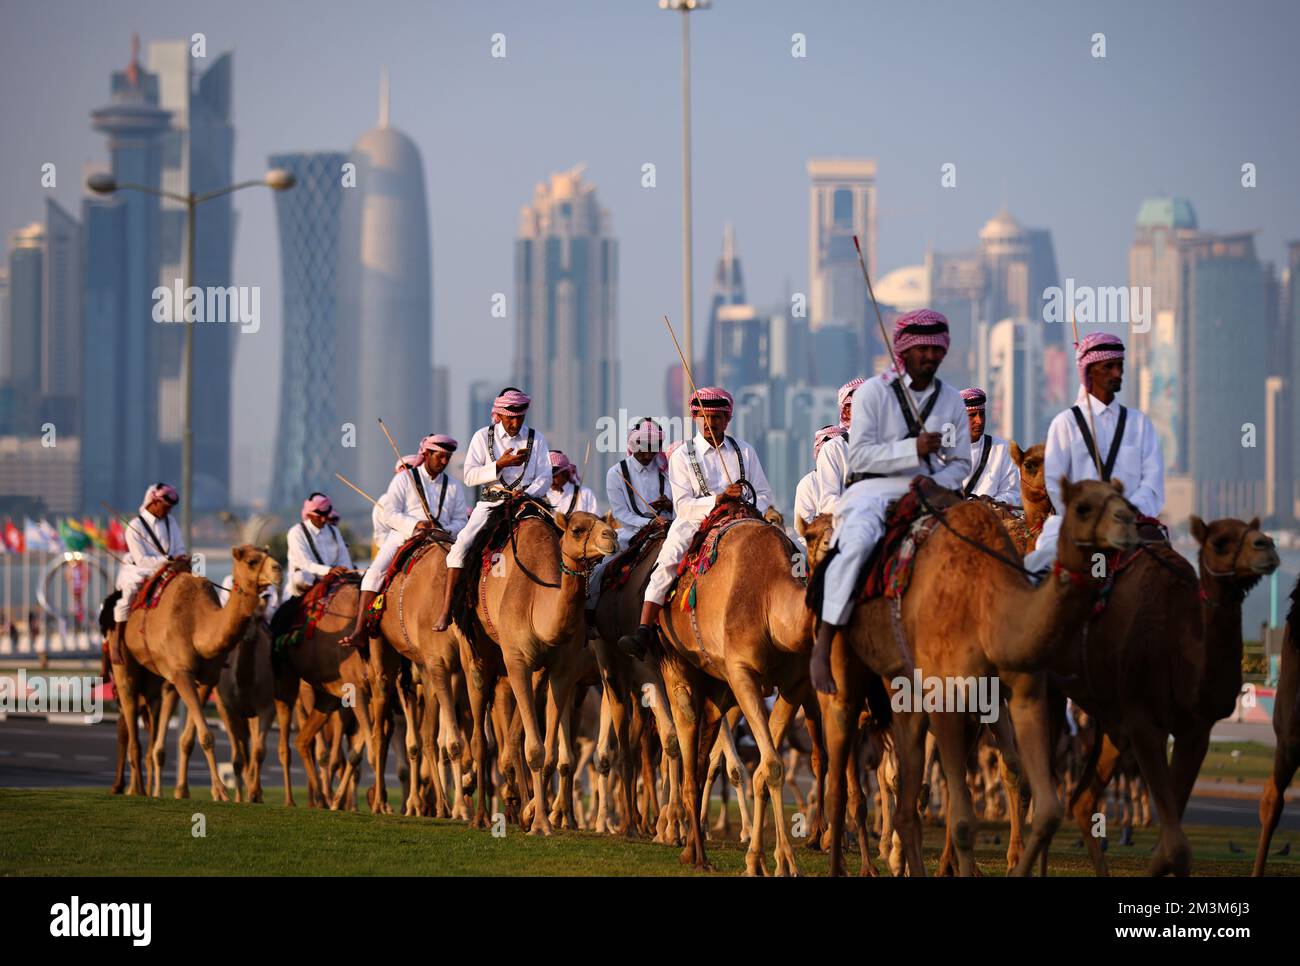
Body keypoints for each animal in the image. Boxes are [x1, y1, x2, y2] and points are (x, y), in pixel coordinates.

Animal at [112, 543, 284, 800]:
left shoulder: (207, 679)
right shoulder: (183, 673)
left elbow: (193, 738)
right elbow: (207, 736)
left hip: (158, 679)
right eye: (252, 561)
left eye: (268, 555)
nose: (278, 570)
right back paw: (138, 790)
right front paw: (221, 792)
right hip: (124, 662)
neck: (198, 626)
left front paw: (189, 791)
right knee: (129, 711)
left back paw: (153, 789)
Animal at [452, 501, 618, 837]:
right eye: (577, 529)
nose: (611, 536)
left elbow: (550, 753)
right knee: (481, 738)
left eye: (602, 522)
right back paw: (480, 816)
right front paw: (541, 823)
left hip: (522, 674)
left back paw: (517, 806)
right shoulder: (517, 661)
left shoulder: (562, 670)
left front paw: (536, 816)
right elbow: (536, 751)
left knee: (513, 737)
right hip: (476, 654)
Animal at [811, 475, 1138, 878]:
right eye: (1084, 506)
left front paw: (1003, 861)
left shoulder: (1003, 699)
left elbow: (1016, 784)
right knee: (846, 784)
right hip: (848, 695)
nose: (1128, 522)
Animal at [1066, 517, 1279, 878]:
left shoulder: (1195, 730)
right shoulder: (1143, 722)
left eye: (1257, 531)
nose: (1267, 547)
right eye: (1220, 542)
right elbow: (1176, 848)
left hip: (1110, 724)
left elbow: (1168, 847)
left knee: (1081, 802)